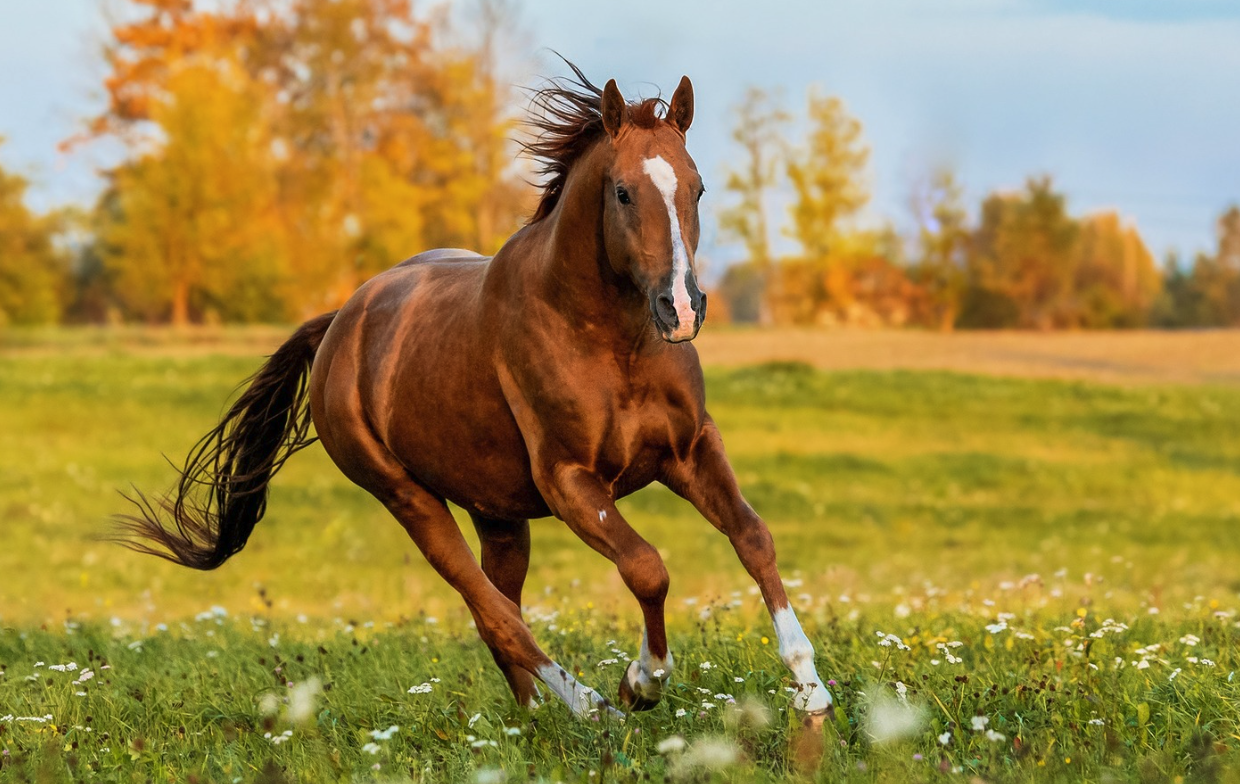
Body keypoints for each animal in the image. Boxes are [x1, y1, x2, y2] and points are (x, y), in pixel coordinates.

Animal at [118, 64, 833, 724]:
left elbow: (752, 536)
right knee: (495, 614)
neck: (610, 342)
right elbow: (646, 567)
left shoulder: (689, 450)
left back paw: (534, 716)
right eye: (624, 192)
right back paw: (590, 708)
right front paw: (641, 682)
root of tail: (339, 324)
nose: (681, 308)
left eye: (697, 187)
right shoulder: (570, 482)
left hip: (498, 513)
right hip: (409, 499)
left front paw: (810, 690)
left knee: (501, 607)